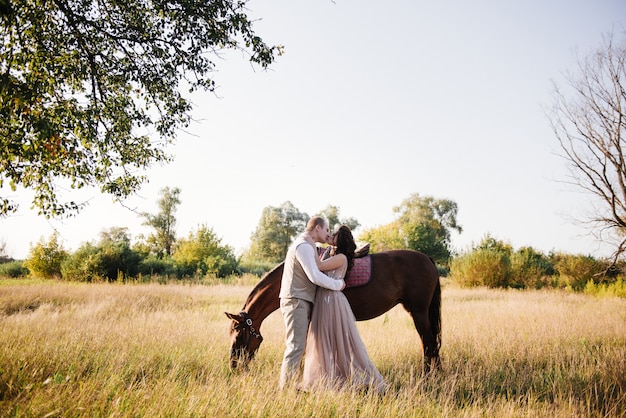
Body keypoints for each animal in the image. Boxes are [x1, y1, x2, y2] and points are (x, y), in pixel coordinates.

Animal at [224, 250, 438, 374]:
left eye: (240, 335)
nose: (233, 366)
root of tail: (427, 258)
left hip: (419, 312)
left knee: (428, 341)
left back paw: (428, 375)